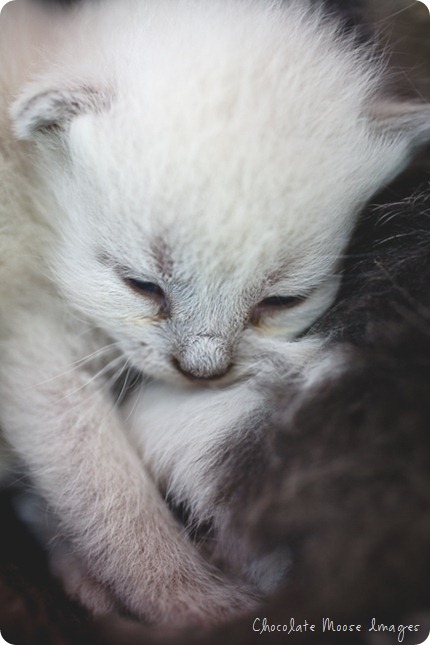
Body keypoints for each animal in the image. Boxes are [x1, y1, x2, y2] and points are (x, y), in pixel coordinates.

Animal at [0, 0, 430, 628]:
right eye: (142, 287)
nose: (203, 371)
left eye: (281, 301)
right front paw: (190, 600)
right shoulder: (28, 338)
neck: (38, 202)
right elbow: (101, 482)